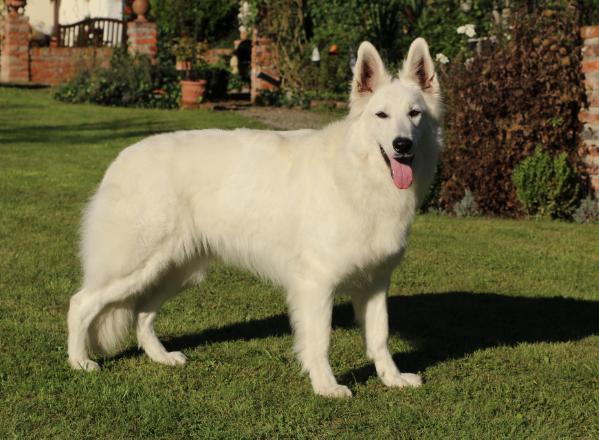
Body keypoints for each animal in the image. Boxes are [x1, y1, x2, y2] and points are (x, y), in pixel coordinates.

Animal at [68, 37, 442, 398]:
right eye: (381, 115)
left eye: (415, 114)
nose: (402, 145)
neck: (358, 172)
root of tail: (121, 159)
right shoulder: (316, 283)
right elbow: (319, 341)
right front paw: (325, 386)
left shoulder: (376, 282)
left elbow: (380, 337)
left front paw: (392, 379)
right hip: (135, 267)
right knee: (80, 303)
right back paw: (79, 362)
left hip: (178, 269)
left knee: (143, 311)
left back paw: (160, 357)